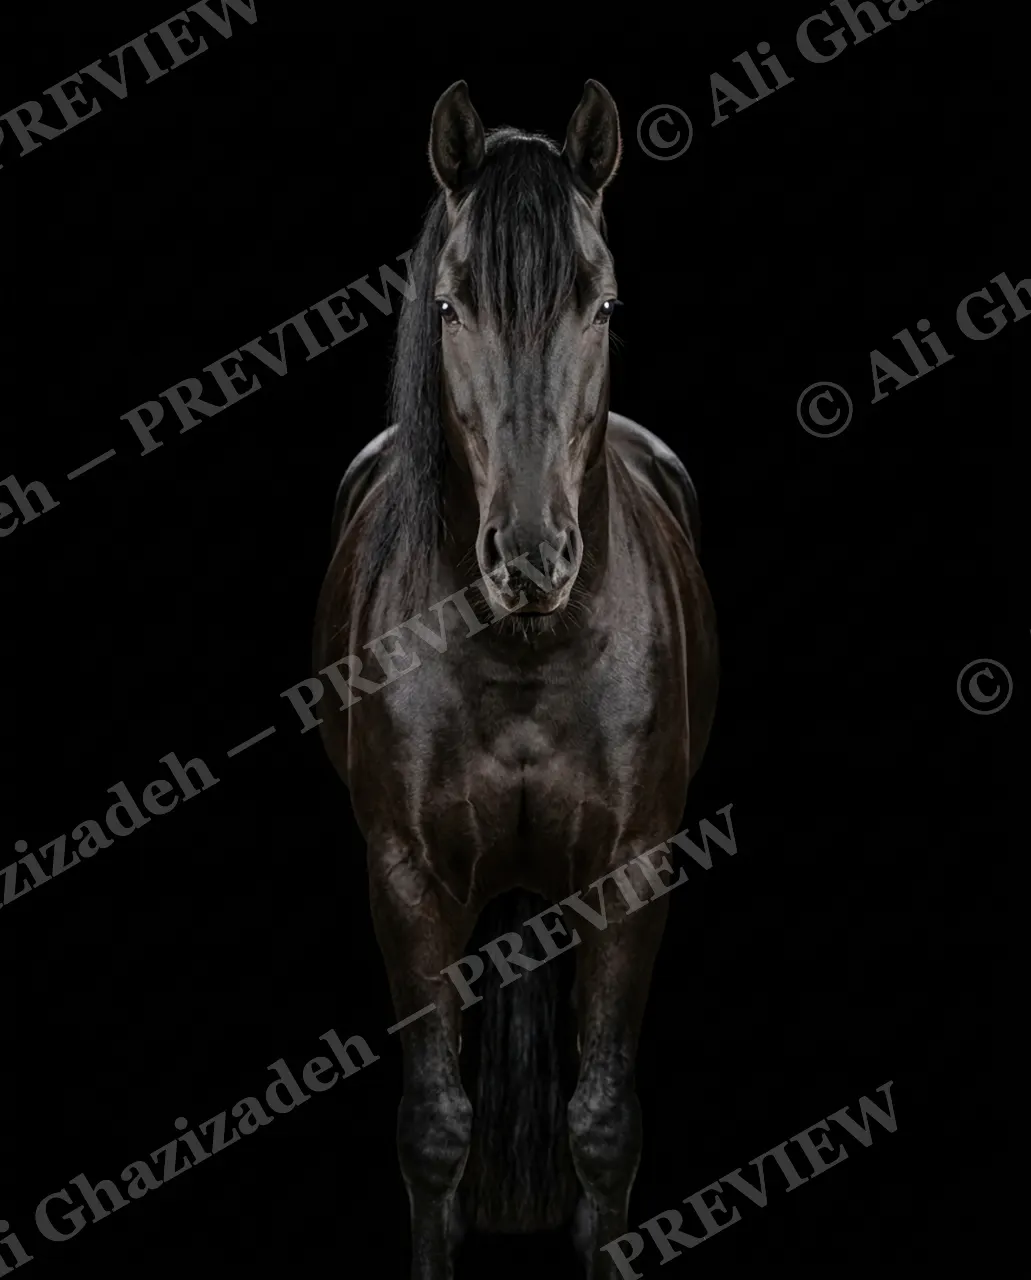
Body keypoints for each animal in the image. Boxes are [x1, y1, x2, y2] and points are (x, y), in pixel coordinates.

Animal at [313, 79, 719, 1279]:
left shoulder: (631, 870)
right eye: (451, 309)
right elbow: (434, 1129)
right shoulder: (406, 877)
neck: (528, 655)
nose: (531, 556)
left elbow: (602, 1124)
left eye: (602, 305)